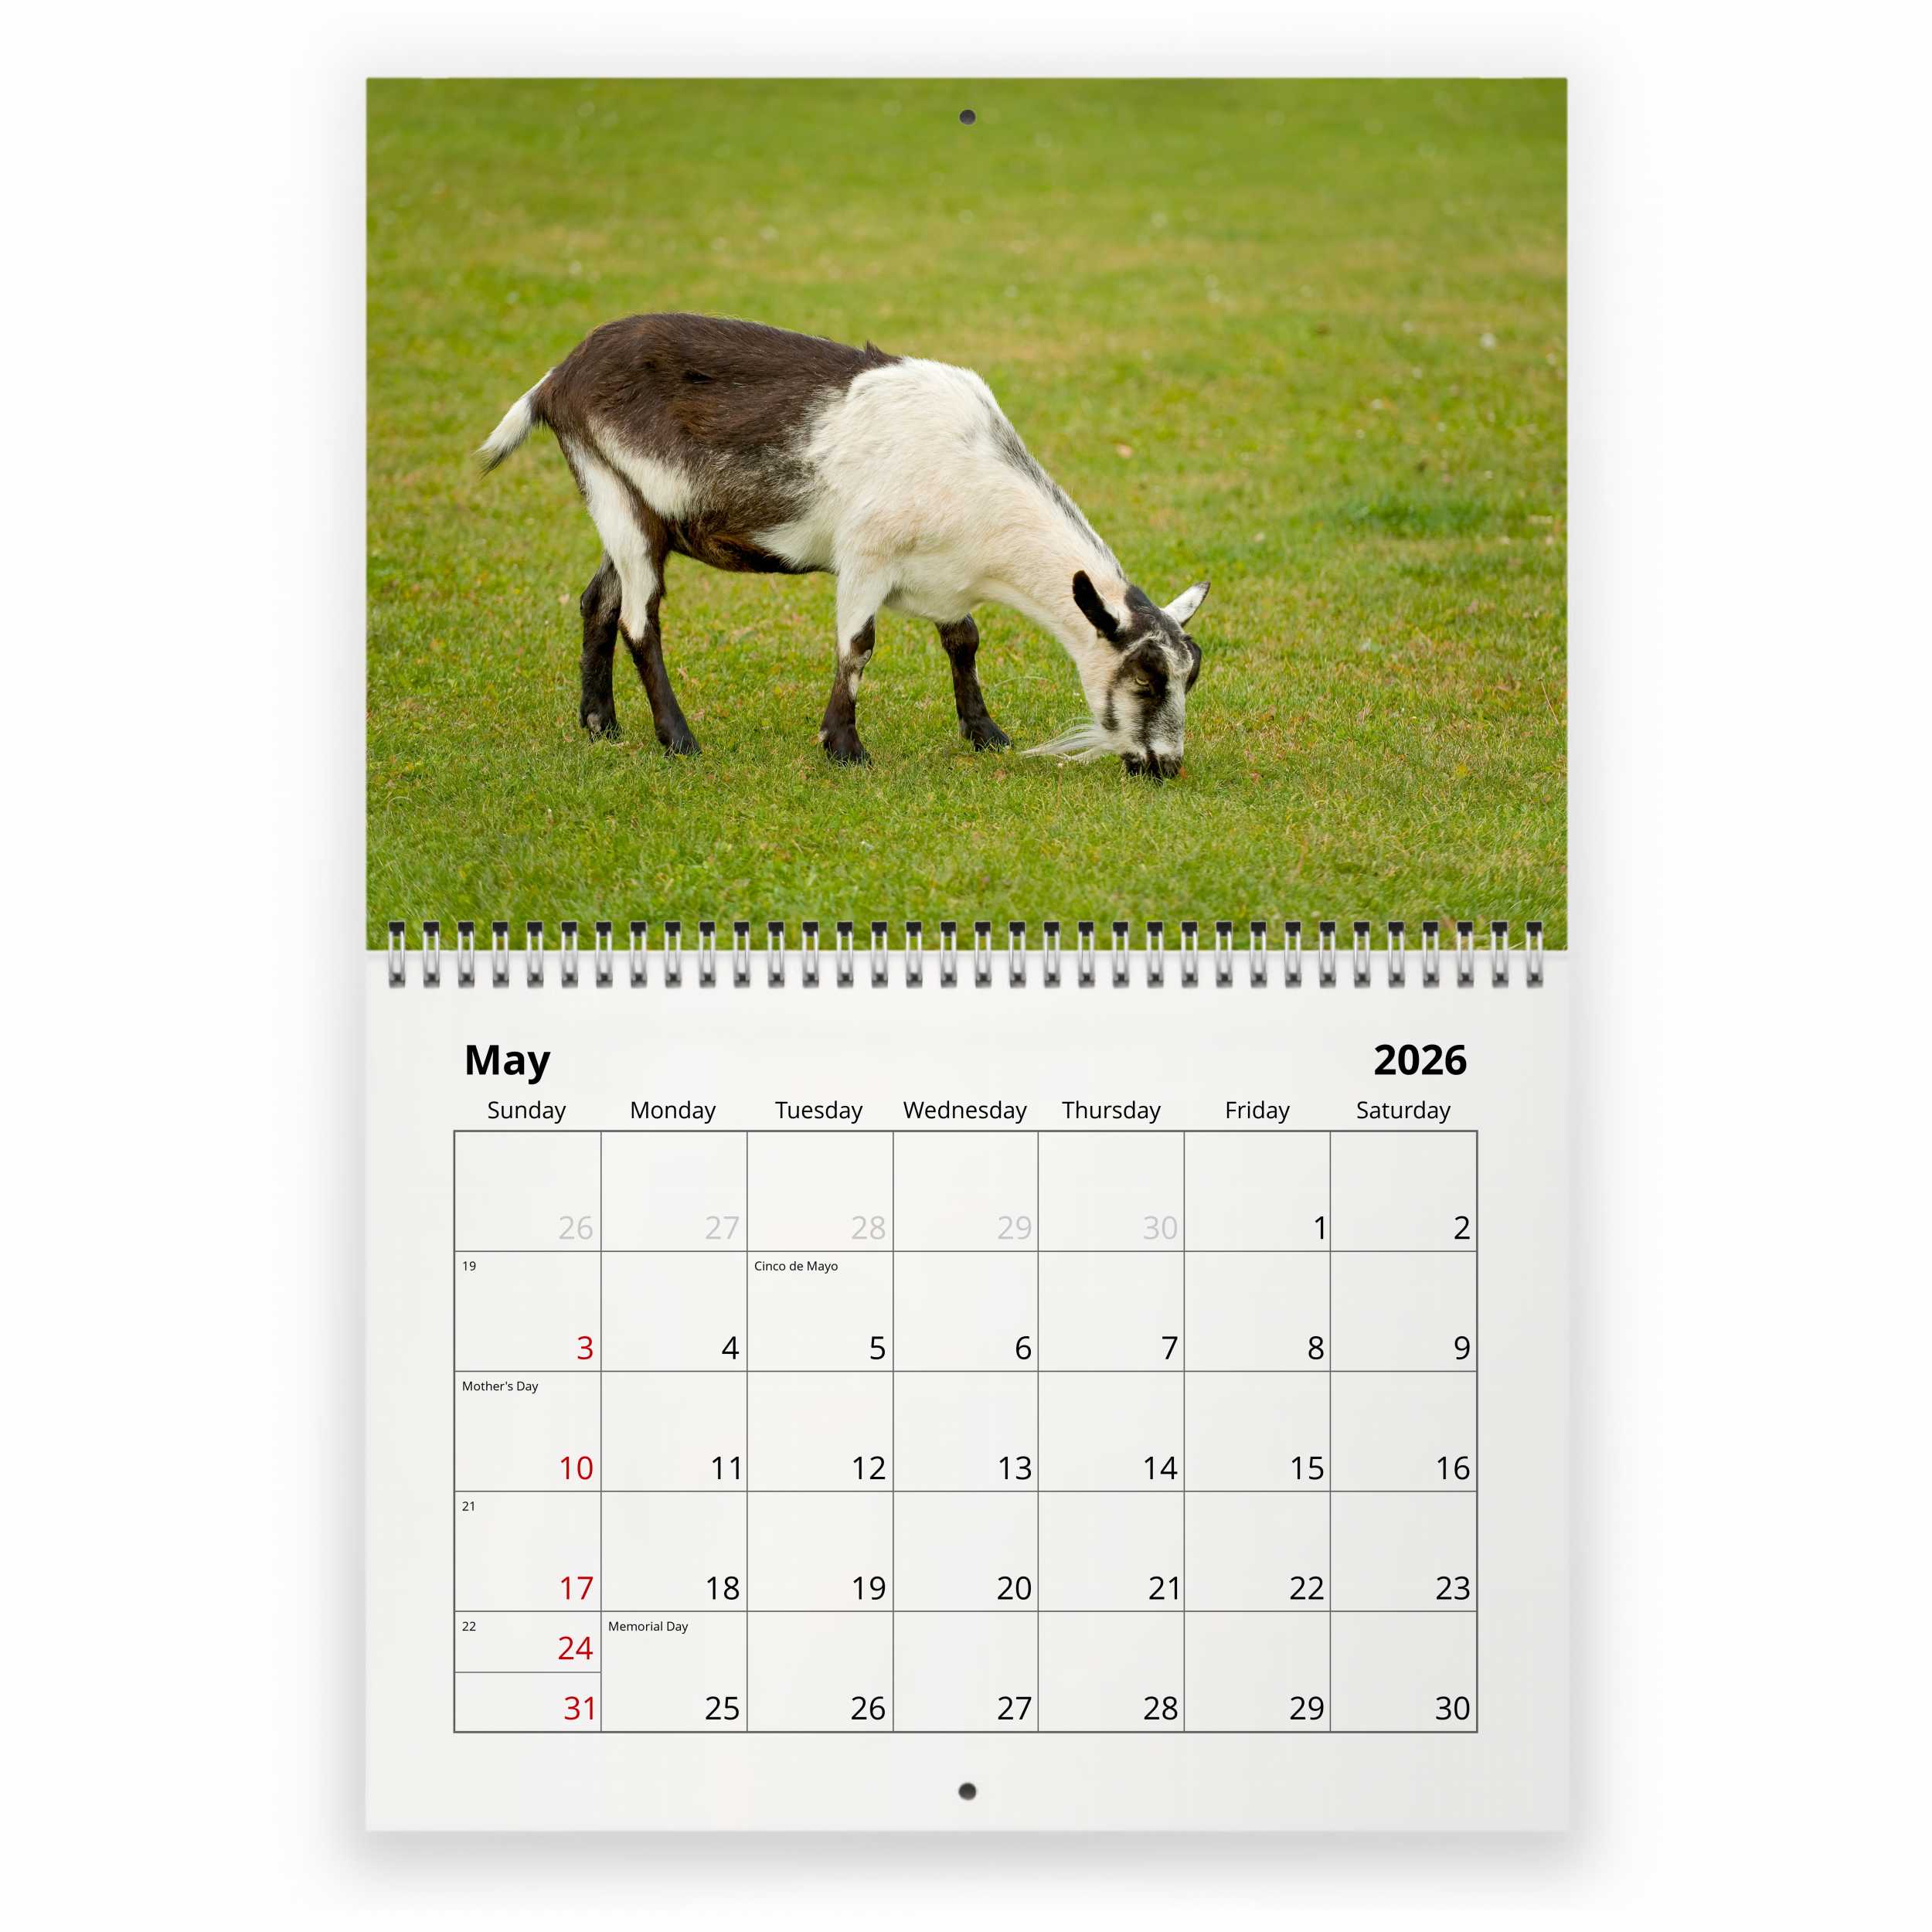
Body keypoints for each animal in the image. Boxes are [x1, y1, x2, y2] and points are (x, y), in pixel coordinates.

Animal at [479, 313, 1209, 775]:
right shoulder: (865, 556)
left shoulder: (943, 577)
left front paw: (987, 734)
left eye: (1190, 675)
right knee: (638, 619)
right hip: (618, 496)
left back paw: (600, 723)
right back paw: (679, 740)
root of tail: (556, 381)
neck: (973, 474)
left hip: (632, 509)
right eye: (1146, 679)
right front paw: (844, 747)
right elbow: (858, 646)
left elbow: (963, 641)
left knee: (598, 601)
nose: (1165, 766)